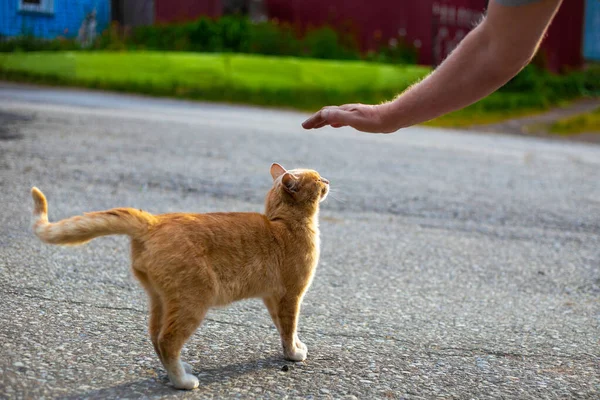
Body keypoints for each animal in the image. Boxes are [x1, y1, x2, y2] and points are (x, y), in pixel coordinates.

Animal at [29, 163, 328, 390]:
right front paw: (293, 354)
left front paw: (296, 345)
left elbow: (283, 326)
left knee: (155, 336)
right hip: (193, 301)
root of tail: (153, 221)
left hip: (161, 299)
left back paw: (179, 369)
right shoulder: (291, 295)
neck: (284, 222)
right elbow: (288, 327)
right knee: (167, 340)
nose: (327, 179)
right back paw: (182, 381)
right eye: (317, 179)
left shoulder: (272, 297)